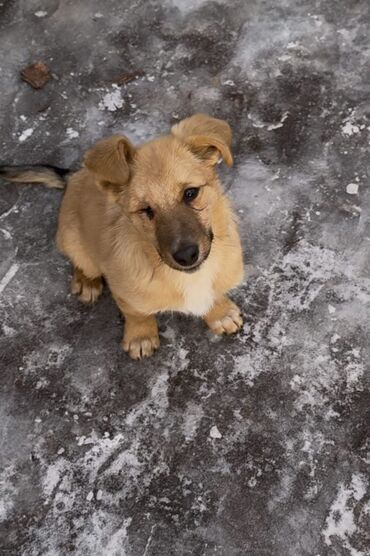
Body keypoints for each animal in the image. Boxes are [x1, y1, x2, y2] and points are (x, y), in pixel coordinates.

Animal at [1, 114, 244, 358]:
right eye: (146, 210)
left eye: (191, 193)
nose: (186, 256)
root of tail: (75, 175)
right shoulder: (123, 291)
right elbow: (137, 313)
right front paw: (141, 336)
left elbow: (214, 293)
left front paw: (220, 313)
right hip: (71, 239)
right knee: (82, 261)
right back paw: (86, 281)